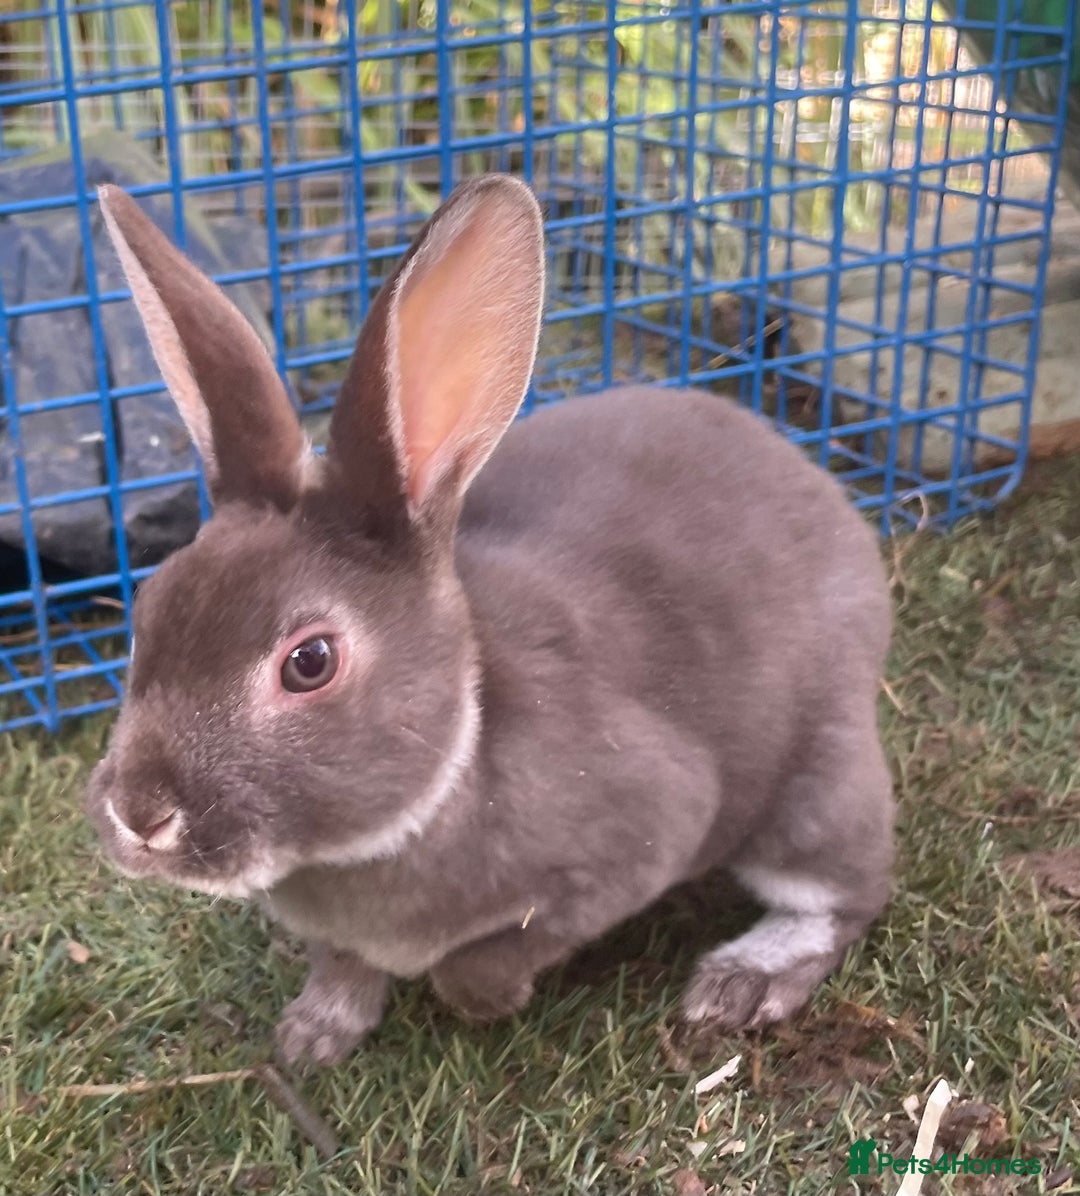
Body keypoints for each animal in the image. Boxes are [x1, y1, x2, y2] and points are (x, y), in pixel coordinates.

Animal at [85, 174, 895, 1067]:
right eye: (149, 610)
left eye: (310, 662)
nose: (140, 816)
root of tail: (833, 508)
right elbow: (341, 963)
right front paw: (313, 1037)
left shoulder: (642, 835)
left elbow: (476, 966)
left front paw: (491, 999)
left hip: (816, 785)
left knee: (848, 891)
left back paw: (743, 980)